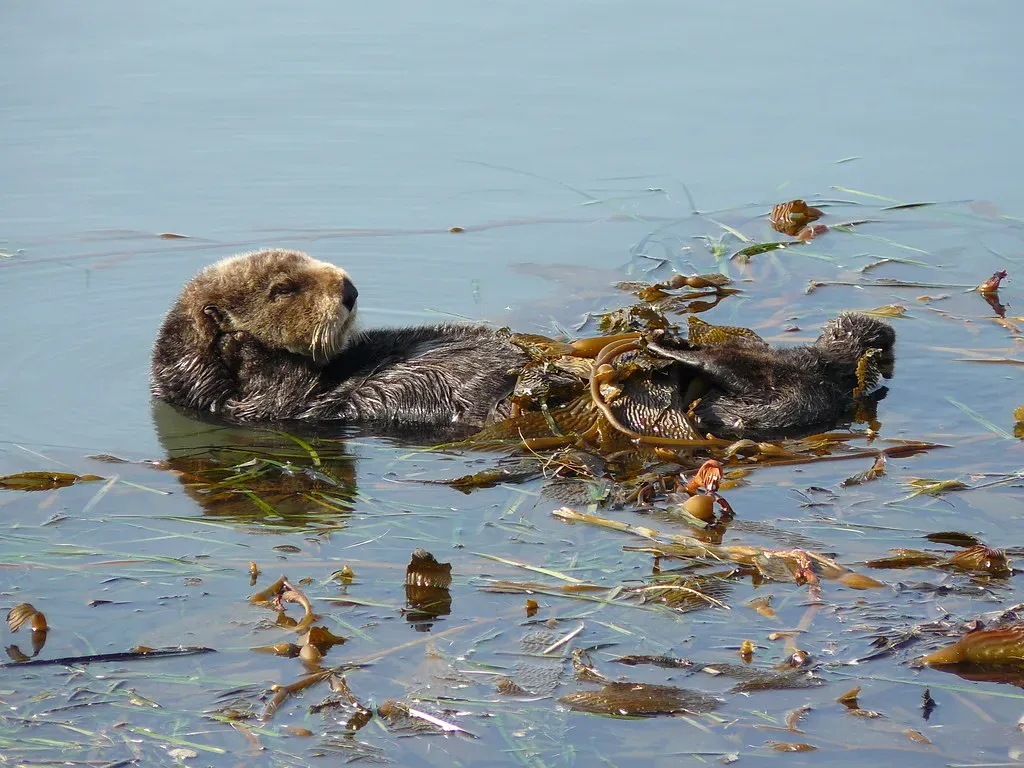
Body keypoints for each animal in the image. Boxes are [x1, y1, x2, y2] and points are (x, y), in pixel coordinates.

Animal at [151, 249, 895, 438]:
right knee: (767, 394)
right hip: (737, 407)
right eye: (283, 288)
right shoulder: (253, 403)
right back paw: (668, 350)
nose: (350, 287)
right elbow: (278, 389)